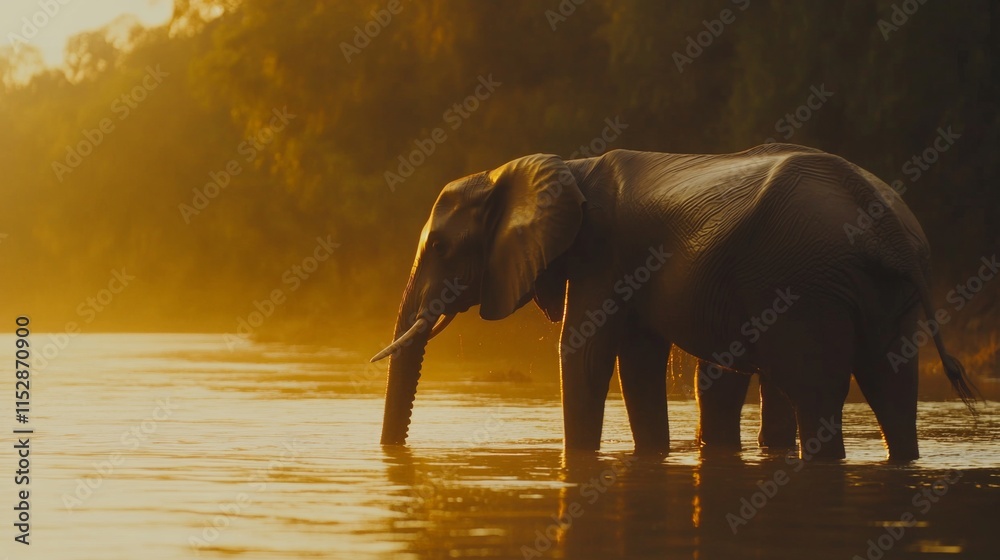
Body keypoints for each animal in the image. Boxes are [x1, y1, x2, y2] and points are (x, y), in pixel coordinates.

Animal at [370, 143, 977, 461]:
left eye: (441, 247)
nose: (393, 454)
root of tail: (892, 233)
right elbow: (638, 361)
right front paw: (651, 457)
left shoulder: (605, 254)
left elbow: (585, 353)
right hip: (879, 295)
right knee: (891, 387)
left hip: (807, 286)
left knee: (817, 391)